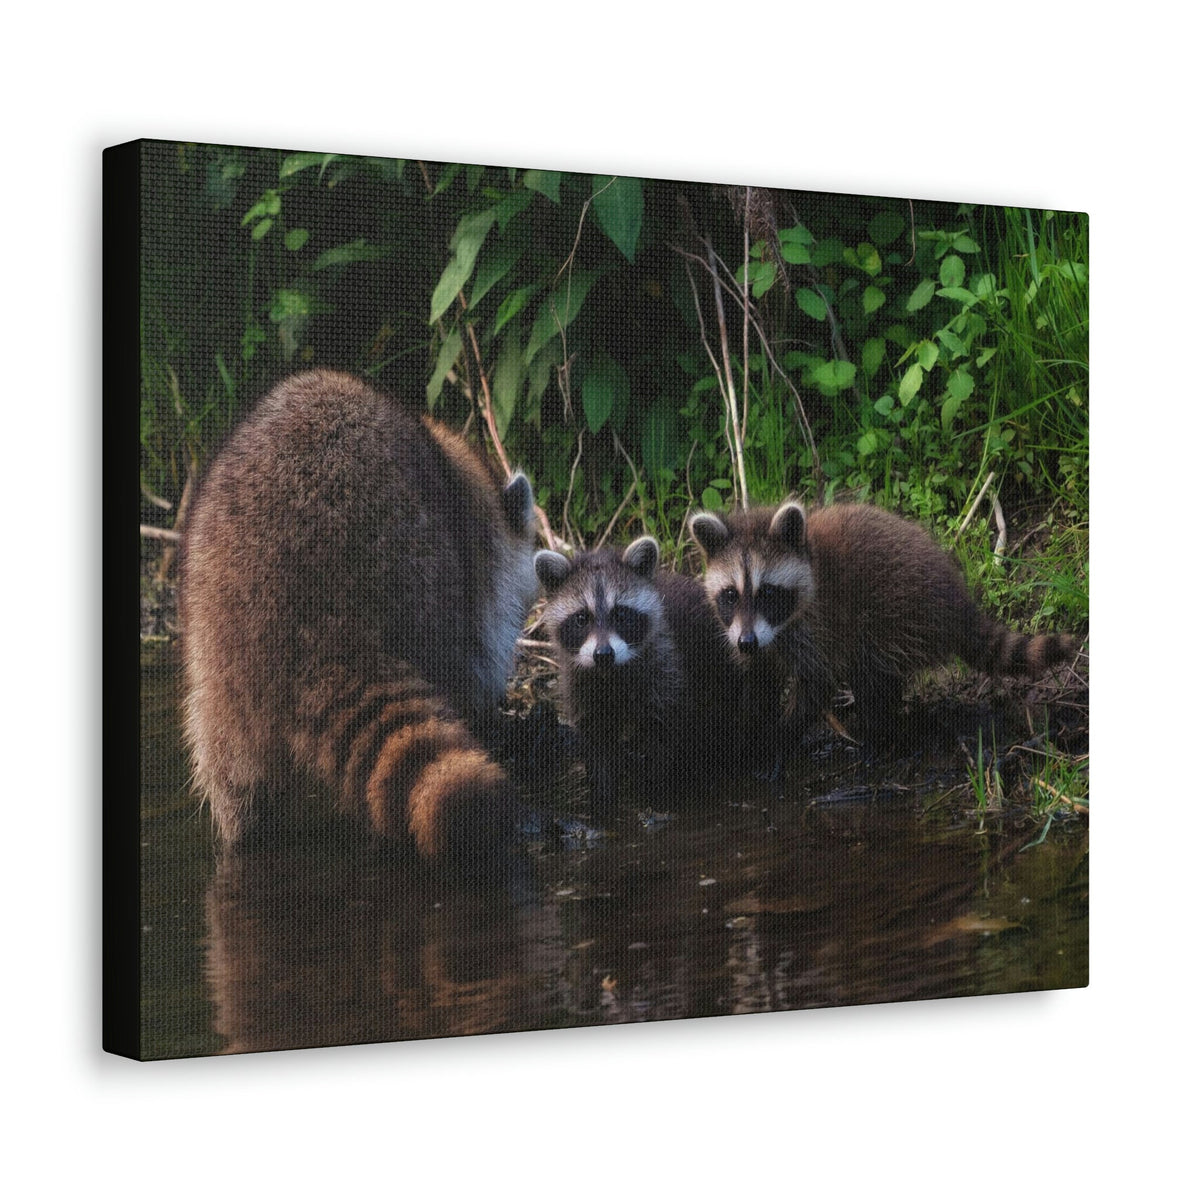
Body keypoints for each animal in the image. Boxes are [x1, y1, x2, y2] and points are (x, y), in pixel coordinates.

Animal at [179, 369, 539, 867]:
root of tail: (312, 623)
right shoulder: (471, 567)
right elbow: (476, 655)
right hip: (418, 569)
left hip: (213, 656)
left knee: (231, 777)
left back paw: (245, 835)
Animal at [534, 537, 738, 803]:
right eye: (581, 618)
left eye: (620, 614)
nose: (603, 654)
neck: (612, 672)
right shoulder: (581, 685)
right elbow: (597, 742)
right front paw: (602, 793)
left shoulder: (665, 672)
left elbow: (663, 740)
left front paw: (654, 791)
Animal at [689, 501, 1079, 751]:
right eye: (730, 594)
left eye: (768, 592)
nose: (747, 642)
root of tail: (958, 601)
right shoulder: (750, 635)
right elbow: (758, 681)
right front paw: (750, 728)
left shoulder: (819, 626)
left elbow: (817, 683)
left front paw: (781, 735)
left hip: (898, 614)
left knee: (873, 672)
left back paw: (877, 731)